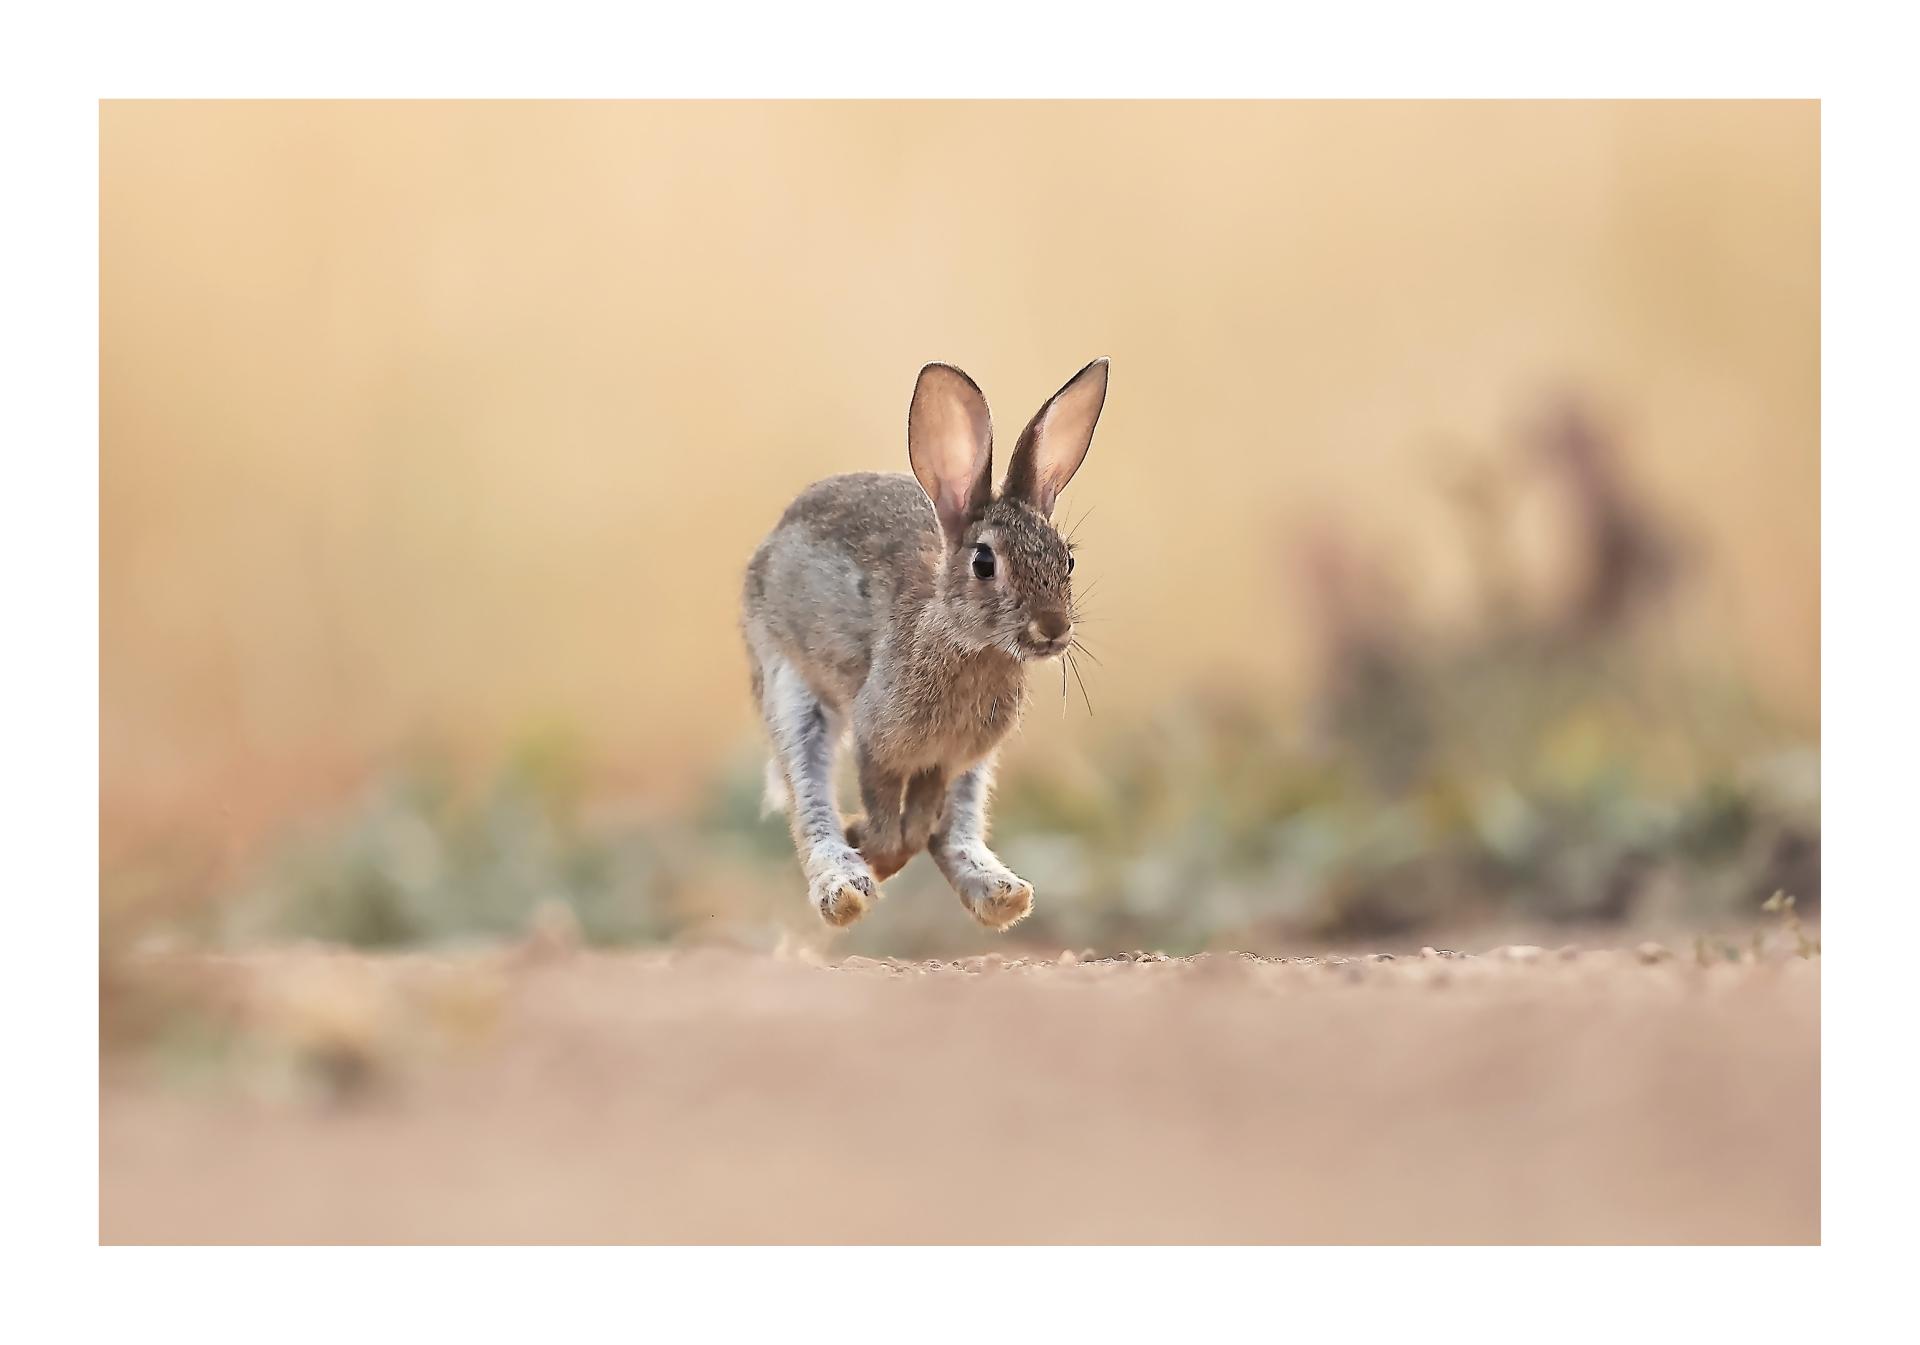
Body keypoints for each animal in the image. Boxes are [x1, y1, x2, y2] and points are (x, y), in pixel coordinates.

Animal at [741, 358, 1108, 929]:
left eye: (1066, 560)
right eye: (984, 563)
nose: (1053, 629)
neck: (968, 644)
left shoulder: (946, 760)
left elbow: (919, 828)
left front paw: (884, 851)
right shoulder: (878, 742)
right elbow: (887, 817)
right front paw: (868, 844)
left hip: (975, 768)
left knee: (951, 829)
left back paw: (998, 893)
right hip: (790, 689)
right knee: (808, 796)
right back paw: (843, 884)